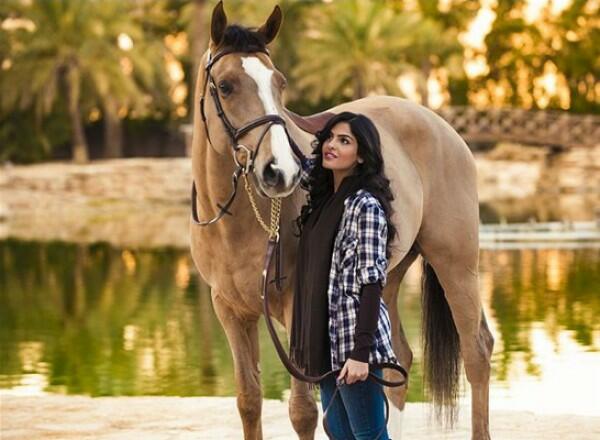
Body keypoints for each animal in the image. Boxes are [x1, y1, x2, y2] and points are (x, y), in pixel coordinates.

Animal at [190, 1, 494, 438]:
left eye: (279, 84)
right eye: (227, 86)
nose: (279, 171)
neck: (239, 220)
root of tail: (439, 124)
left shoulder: (295, 309)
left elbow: (302, 410)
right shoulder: (230, 310)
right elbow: (249, 401)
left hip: (456, 262)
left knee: (477, 352)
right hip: (386, 273)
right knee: (396, 359)